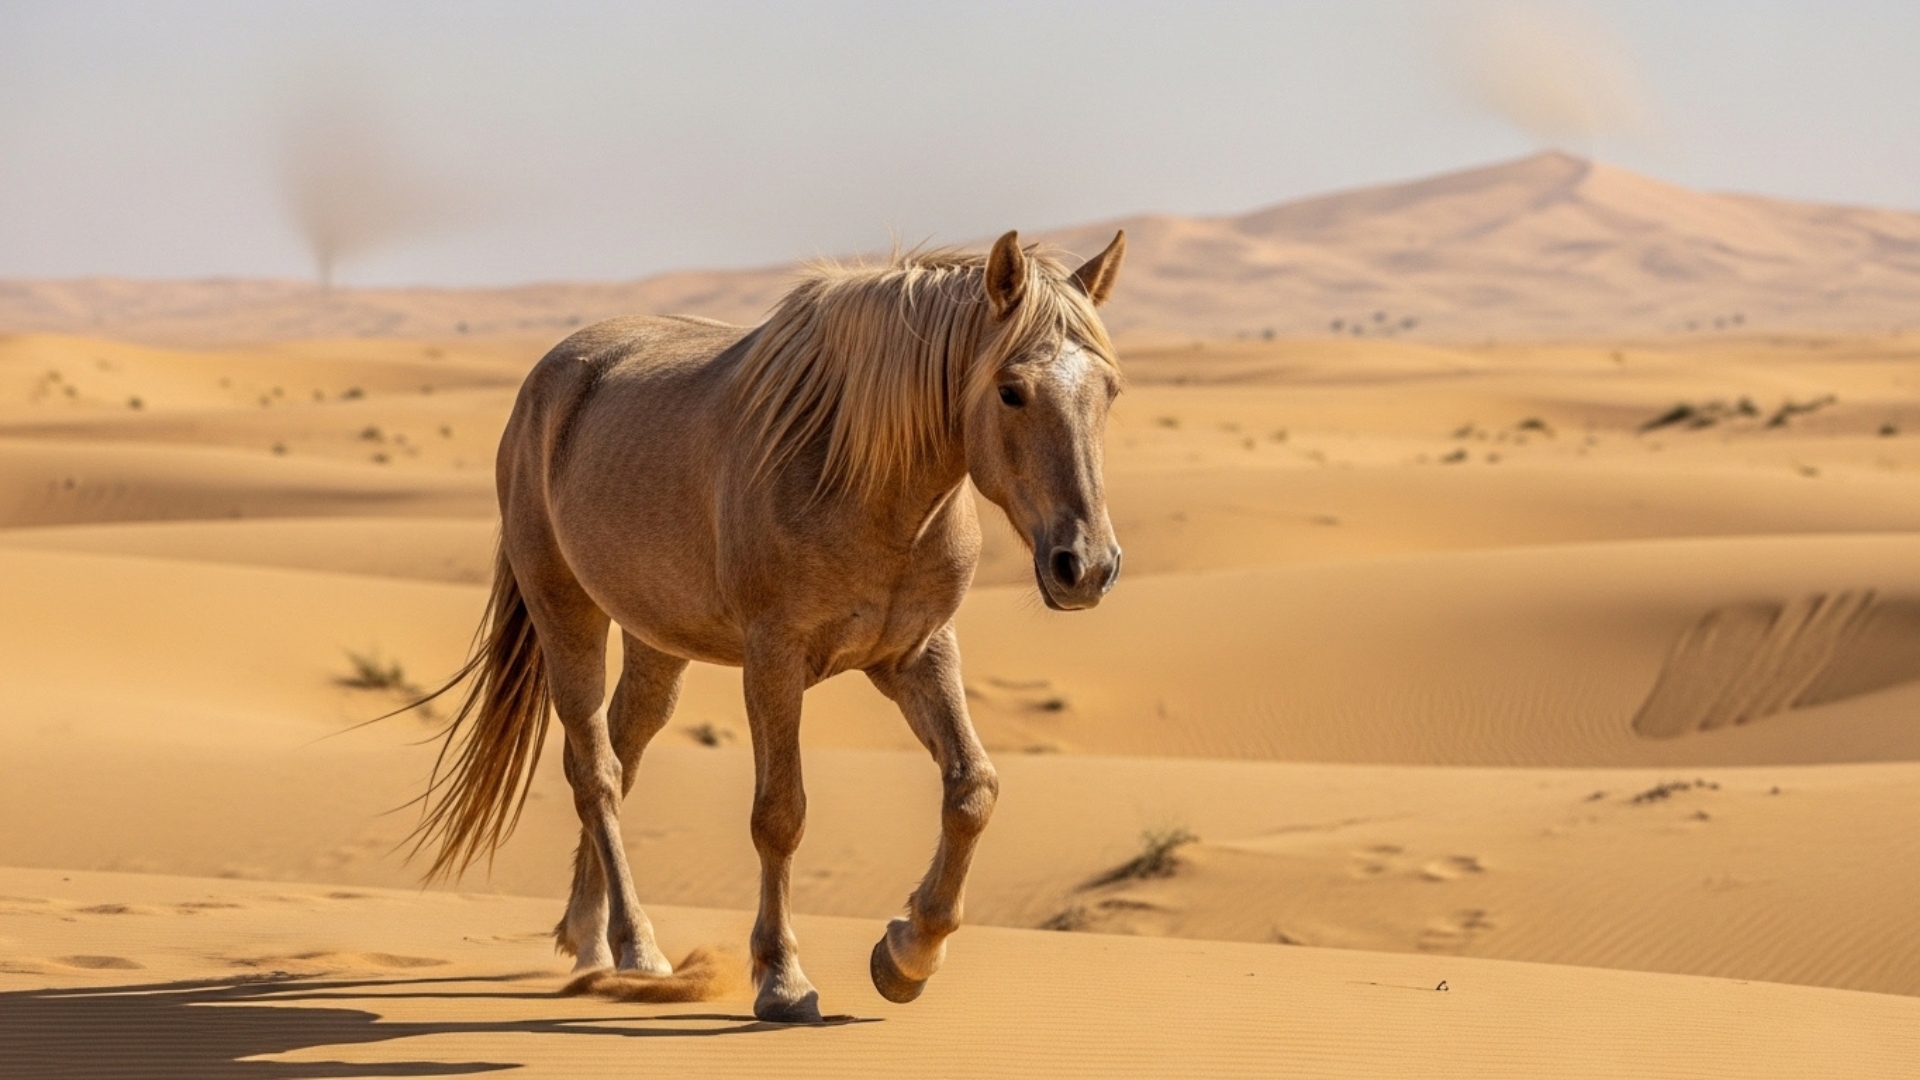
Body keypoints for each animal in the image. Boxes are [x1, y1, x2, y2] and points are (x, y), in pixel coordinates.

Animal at [411, 229, 1128, 1022]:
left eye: (1109, 391)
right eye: (1011, 389)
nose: (1086, 566)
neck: (865, 482)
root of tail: (548, 378)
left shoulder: (917, 654)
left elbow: (973, 790)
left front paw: (908, 953)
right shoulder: (775, 660)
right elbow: (780, 814)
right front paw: (783, 977)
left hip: (656, 643)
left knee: (618, 757)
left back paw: (591, 937)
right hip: (566, 612)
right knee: (595, 774)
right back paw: (637, 946)